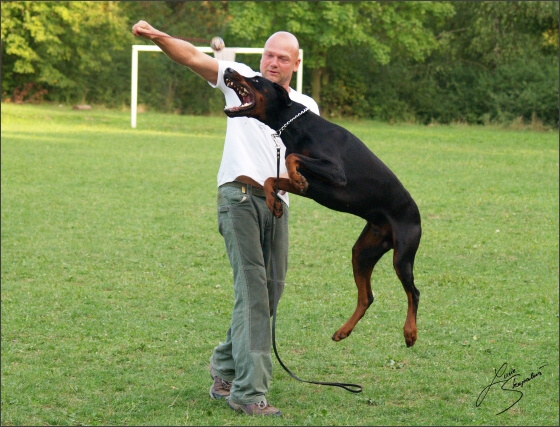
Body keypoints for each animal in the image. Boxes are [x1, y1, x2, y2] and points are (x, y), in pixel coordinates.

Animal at [223, 67, 420, 348]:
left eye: (257, 79)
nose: (229, 69)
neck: (298, 126)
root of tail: (417, 214)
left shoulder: (336, 173)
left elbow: (294, 159)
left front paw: (290, 183)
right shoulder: (314, 185)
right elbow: (272, 178)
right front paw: (275, 202)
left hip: (402, 256)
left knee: (414, 291)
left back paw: (410, 332)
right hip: (363, 252)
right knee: (367, 296)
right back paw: (343, 331)